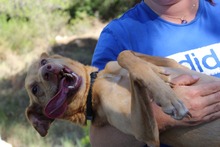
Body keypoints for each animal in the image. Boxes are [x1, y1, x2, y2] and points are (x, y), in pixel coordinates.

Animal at [24, 50, 220, 146]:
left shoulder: (172, 63)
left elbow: (124, 53)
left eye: (42, 62)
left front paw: (156, 75)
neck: (95, 84)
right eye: (35, 89)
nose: (47, 70)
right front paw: (167, 97)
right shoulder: (147, 133)